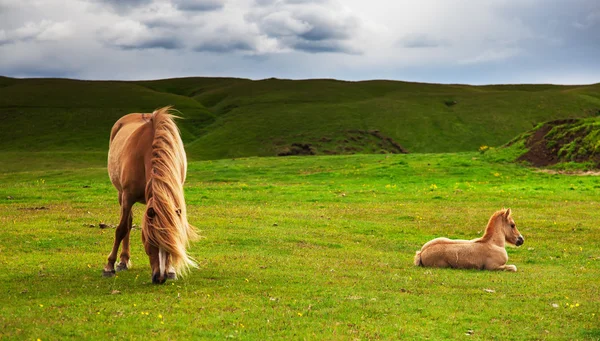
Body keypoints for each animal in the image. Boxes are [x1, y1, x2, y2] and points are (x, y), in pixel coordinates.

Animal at [103, 105, 197, 282]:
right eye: (151, 241)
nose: (160, 278)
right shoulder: (127, 197)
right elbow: (121, 229)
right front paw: (109, 266)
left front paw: (172, 270)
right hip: (121, 195)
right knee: (127, 224)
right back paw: (122, 261)